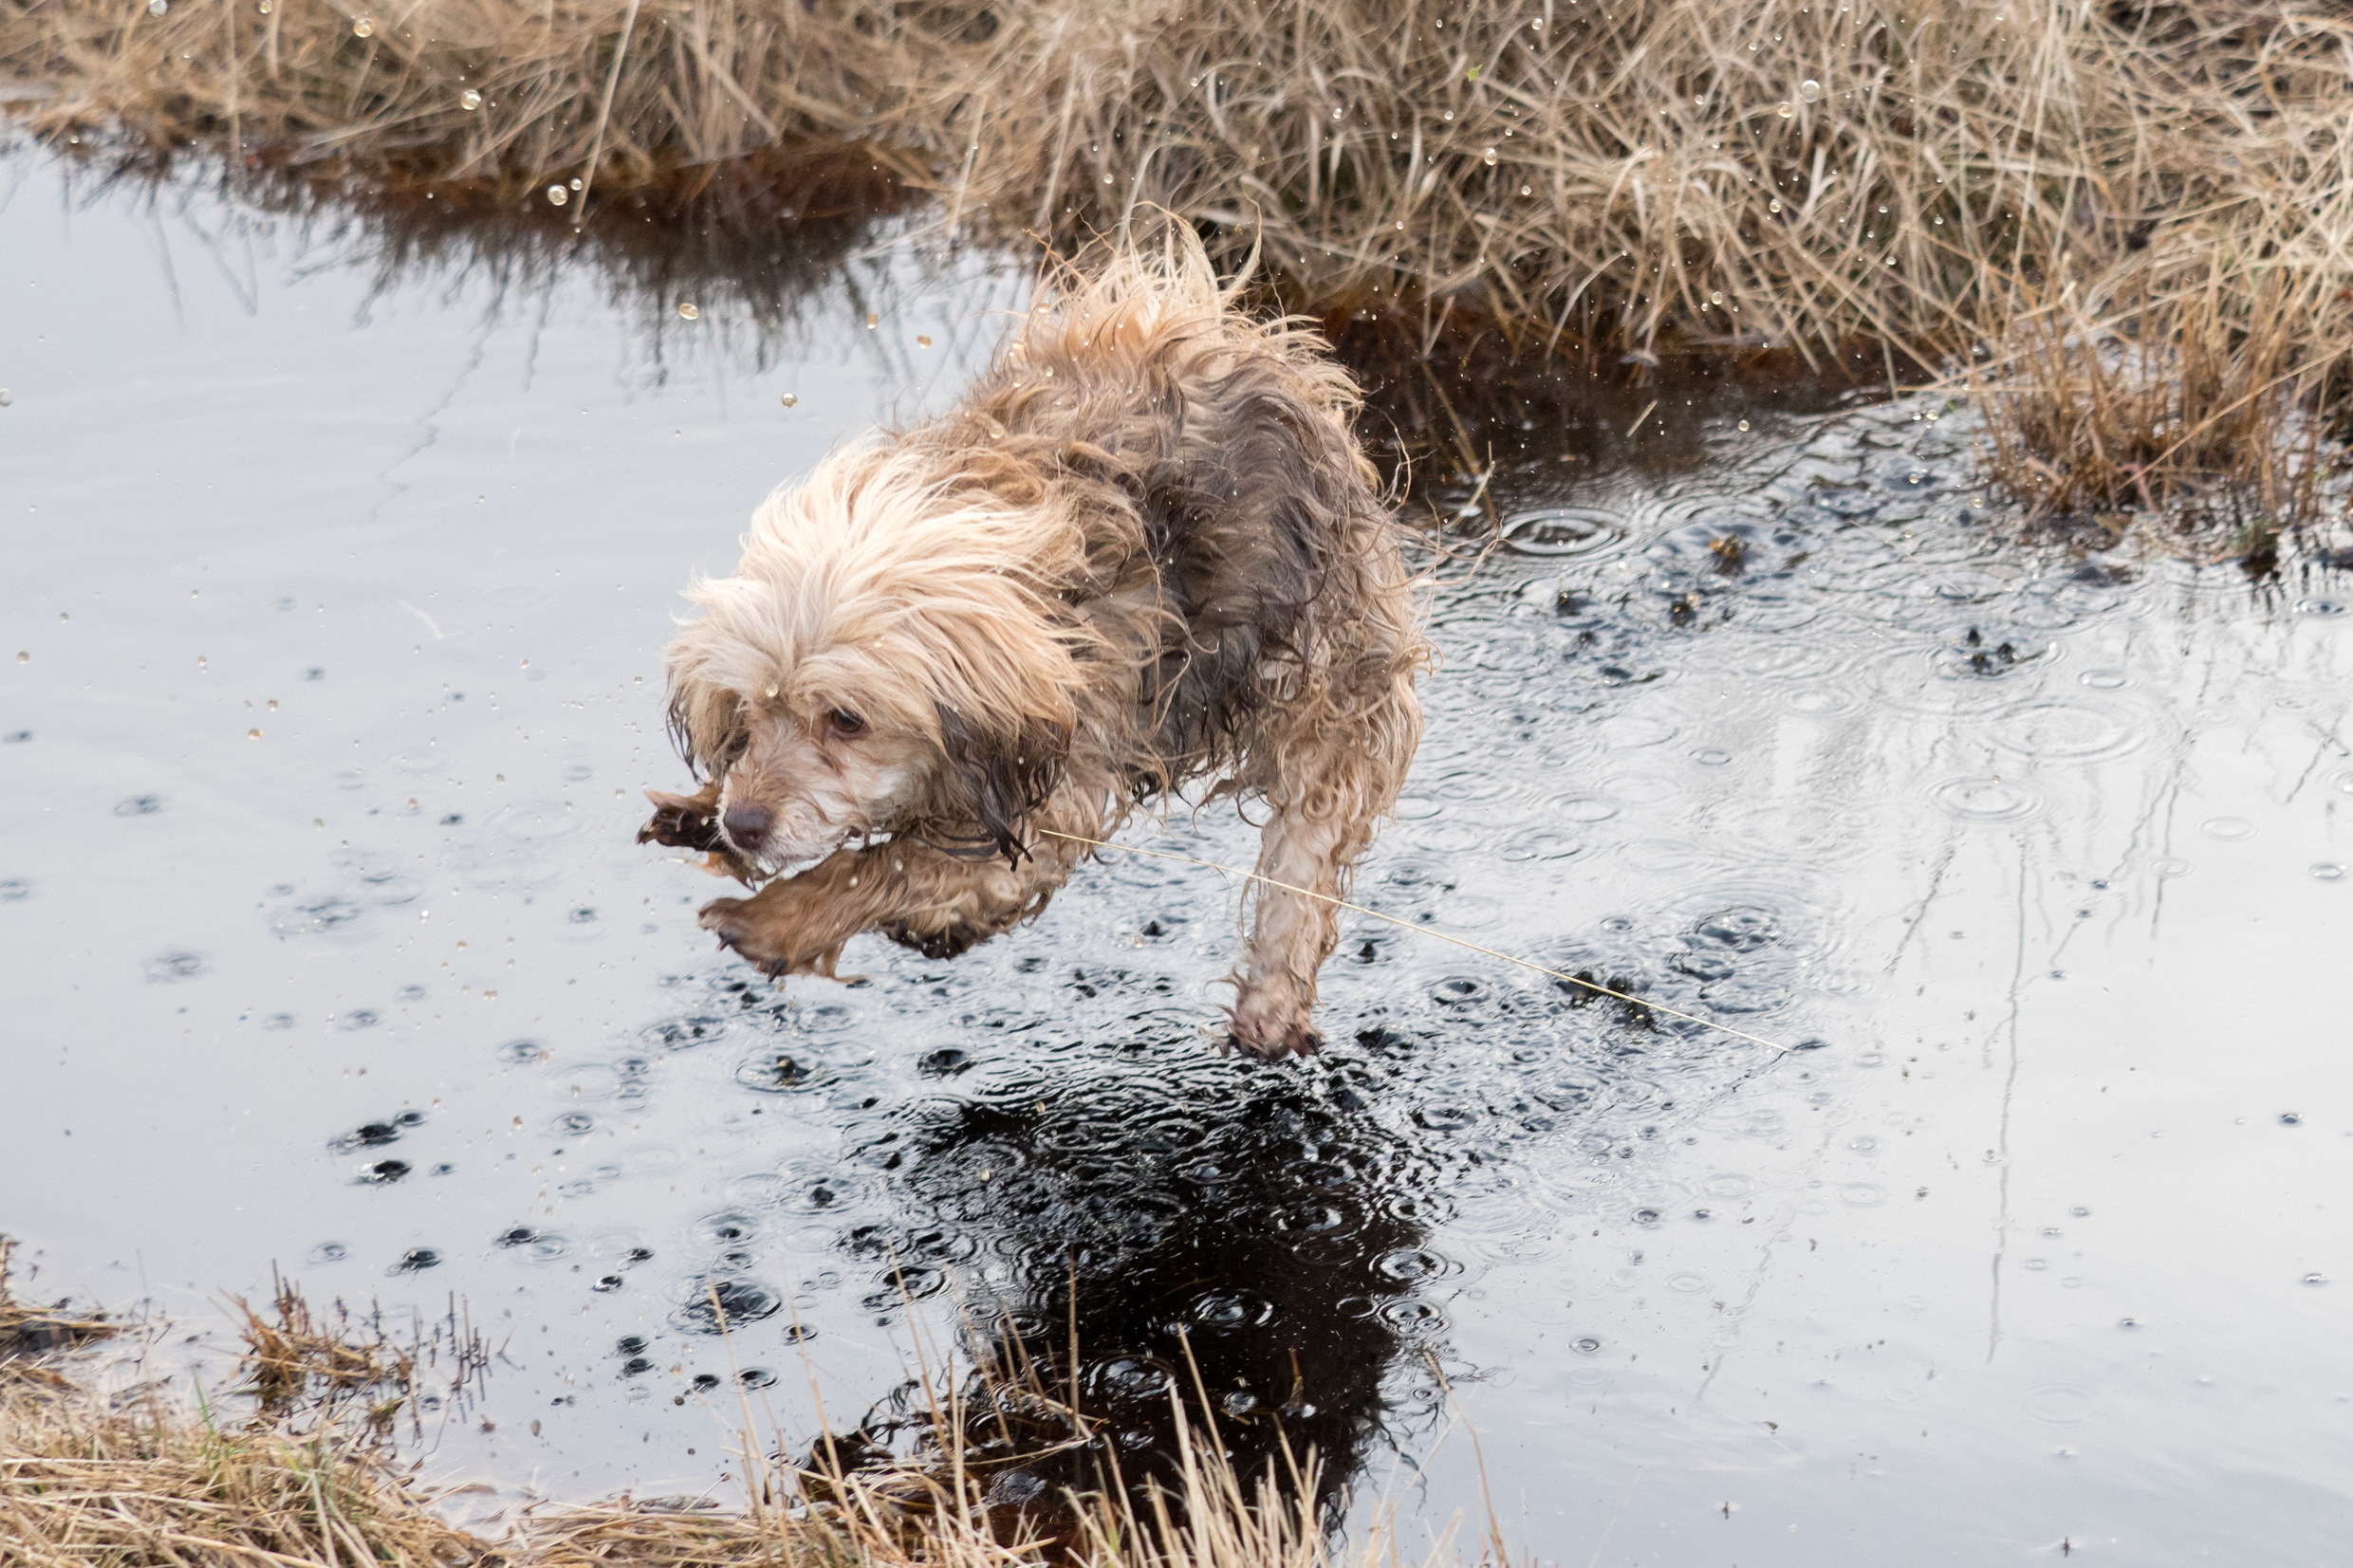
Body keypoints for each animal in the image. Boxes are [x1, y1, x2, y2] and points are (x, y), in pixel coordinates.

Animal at [636, 229, 1427, 1057]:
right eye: (749, 711)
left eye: (846, 720)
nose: (746, 823)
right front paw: (701, 809)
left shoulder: (1050, 804)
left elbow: (886, 866)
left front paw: (780, 918)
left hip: (1334, 685)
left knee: (1304, 859)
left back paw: (1270, 1004)